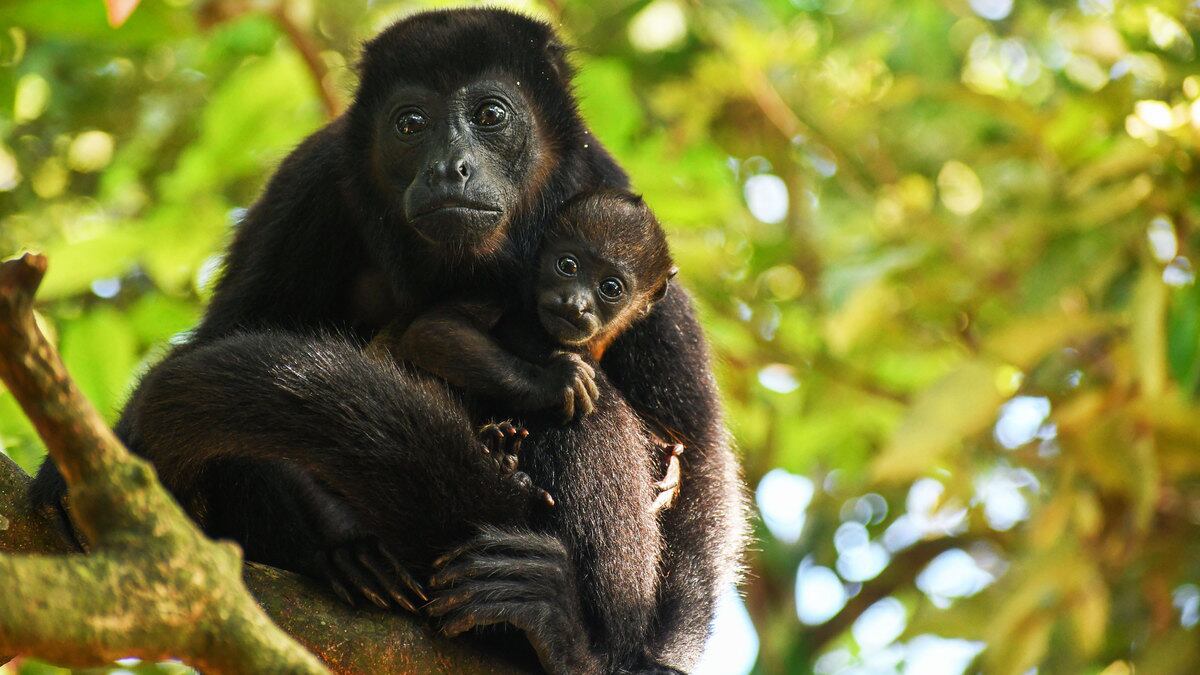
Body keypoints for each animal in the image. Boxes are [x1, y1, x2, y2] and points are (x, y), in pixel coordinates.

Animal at [31, 9, 746, 674]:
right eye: (410, 124)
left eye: (490, 114)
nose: (451, 168)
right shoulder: (310, 183)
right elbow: (228, 335)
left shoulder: (603, 180)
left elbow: (697, 453)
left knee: (596, 424)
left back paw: (566, 635)